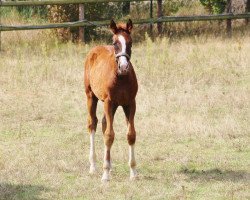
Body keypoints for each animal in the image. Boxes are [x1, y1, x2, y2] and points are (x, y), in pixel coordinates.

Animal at [84, 19, 139, 181]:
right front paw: (105, 174)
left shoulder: (130, 103)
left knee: (103, 123)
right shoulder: (109, 102)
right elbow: (109, 135)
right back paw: (93, 165)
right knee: (93, 123)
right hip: (91, 96)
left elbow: (131, 134)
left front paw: (133, 172)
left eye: (130, 42)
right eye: (115, 43)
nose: (124, 67)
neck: (121, 77)